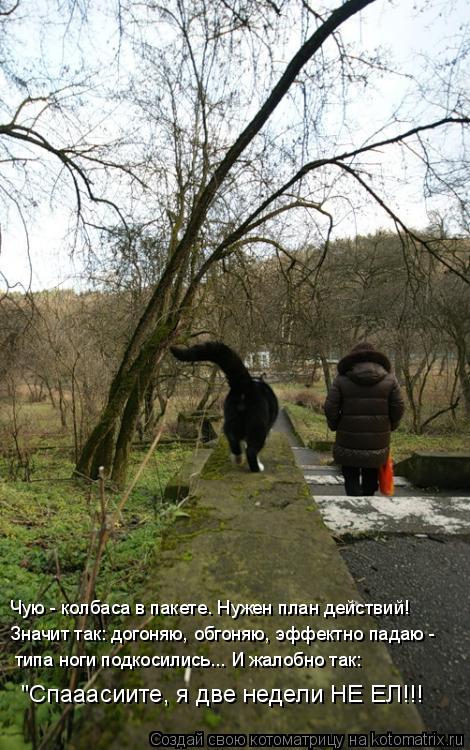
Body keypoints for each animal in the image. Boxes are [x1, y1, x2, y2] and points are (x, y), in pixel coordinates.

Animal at [170, 344, 278, 472]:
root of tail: (245, 384)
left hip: (231, 420)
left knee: (233, 440)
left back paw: (238, 459)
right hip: (257, 424)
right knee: (251, 450)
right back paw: (257, 468)